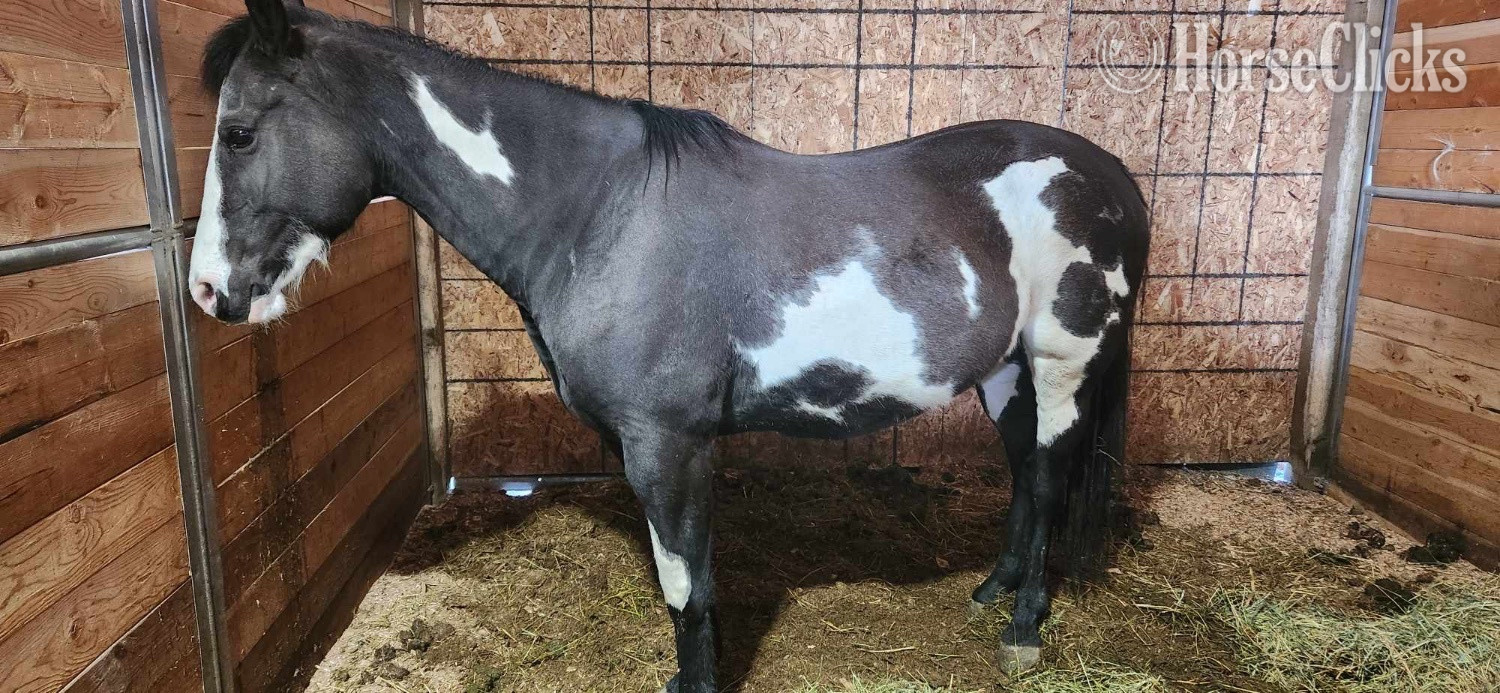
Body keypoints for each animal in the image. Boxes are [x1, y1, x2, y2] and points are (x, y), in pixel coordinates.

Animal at [187, 0, 1151, 689]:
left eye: (239, 133)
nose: (206, 291)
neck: (599, 215)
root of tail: (1111, 176)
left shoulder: (669, 442)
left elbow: (688, 588)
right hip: (1005, 371)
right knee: (1024, 469)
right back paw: (990, 591)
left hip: (1062, 363)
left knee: (1051, 475)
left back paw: (1022, 627)